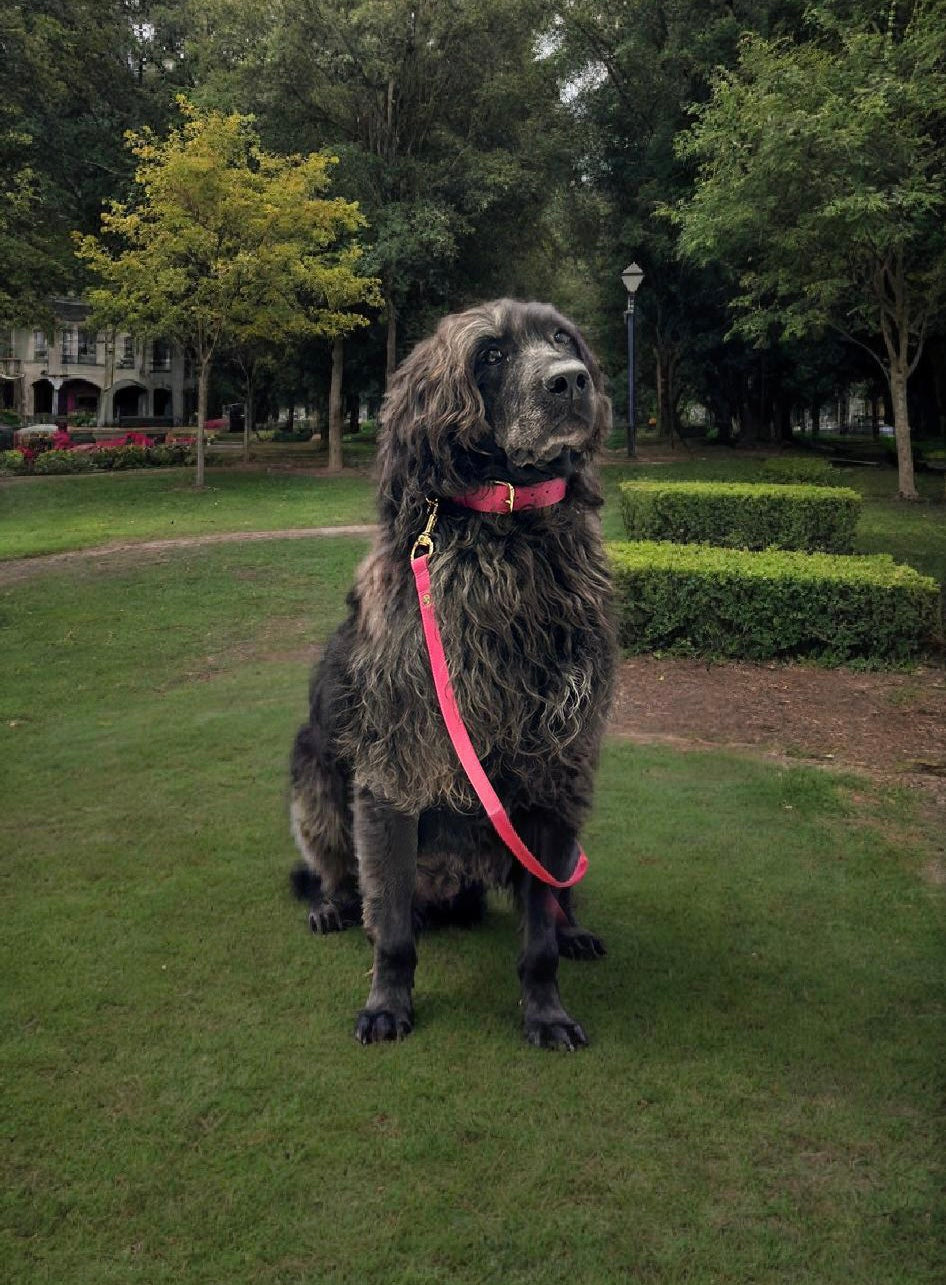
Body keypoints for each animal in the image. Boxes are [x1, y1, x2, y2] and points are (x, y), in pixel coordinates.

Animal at [287, 300, 614, 1053]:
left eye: (562, 337)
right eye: (490, 354)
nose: (570, 380)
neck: (511, 538)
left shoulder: (557, 772)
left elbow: (537, 939)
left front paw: (546, 1011)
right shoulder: (392, 776)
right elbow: (392, 932)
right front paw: (387, 1002)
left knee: (559, 892)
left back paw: (575, 927)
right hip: (313, 775)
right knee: (341, 874)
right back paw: (333, 906)